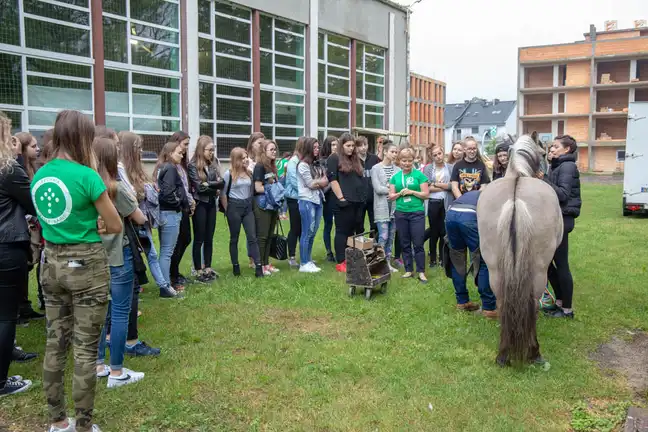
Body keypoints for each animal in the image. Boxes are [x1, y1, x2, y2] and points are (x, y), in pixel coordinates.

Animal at [476, 134, 560, 364]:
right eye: (543, 153)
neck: (517, 174)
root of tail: (515, 200)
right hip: (538, 271)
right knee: (532, 304)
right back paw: (534, 353)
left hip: (495, 268)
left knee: (502, 300)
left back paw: (503, 354)